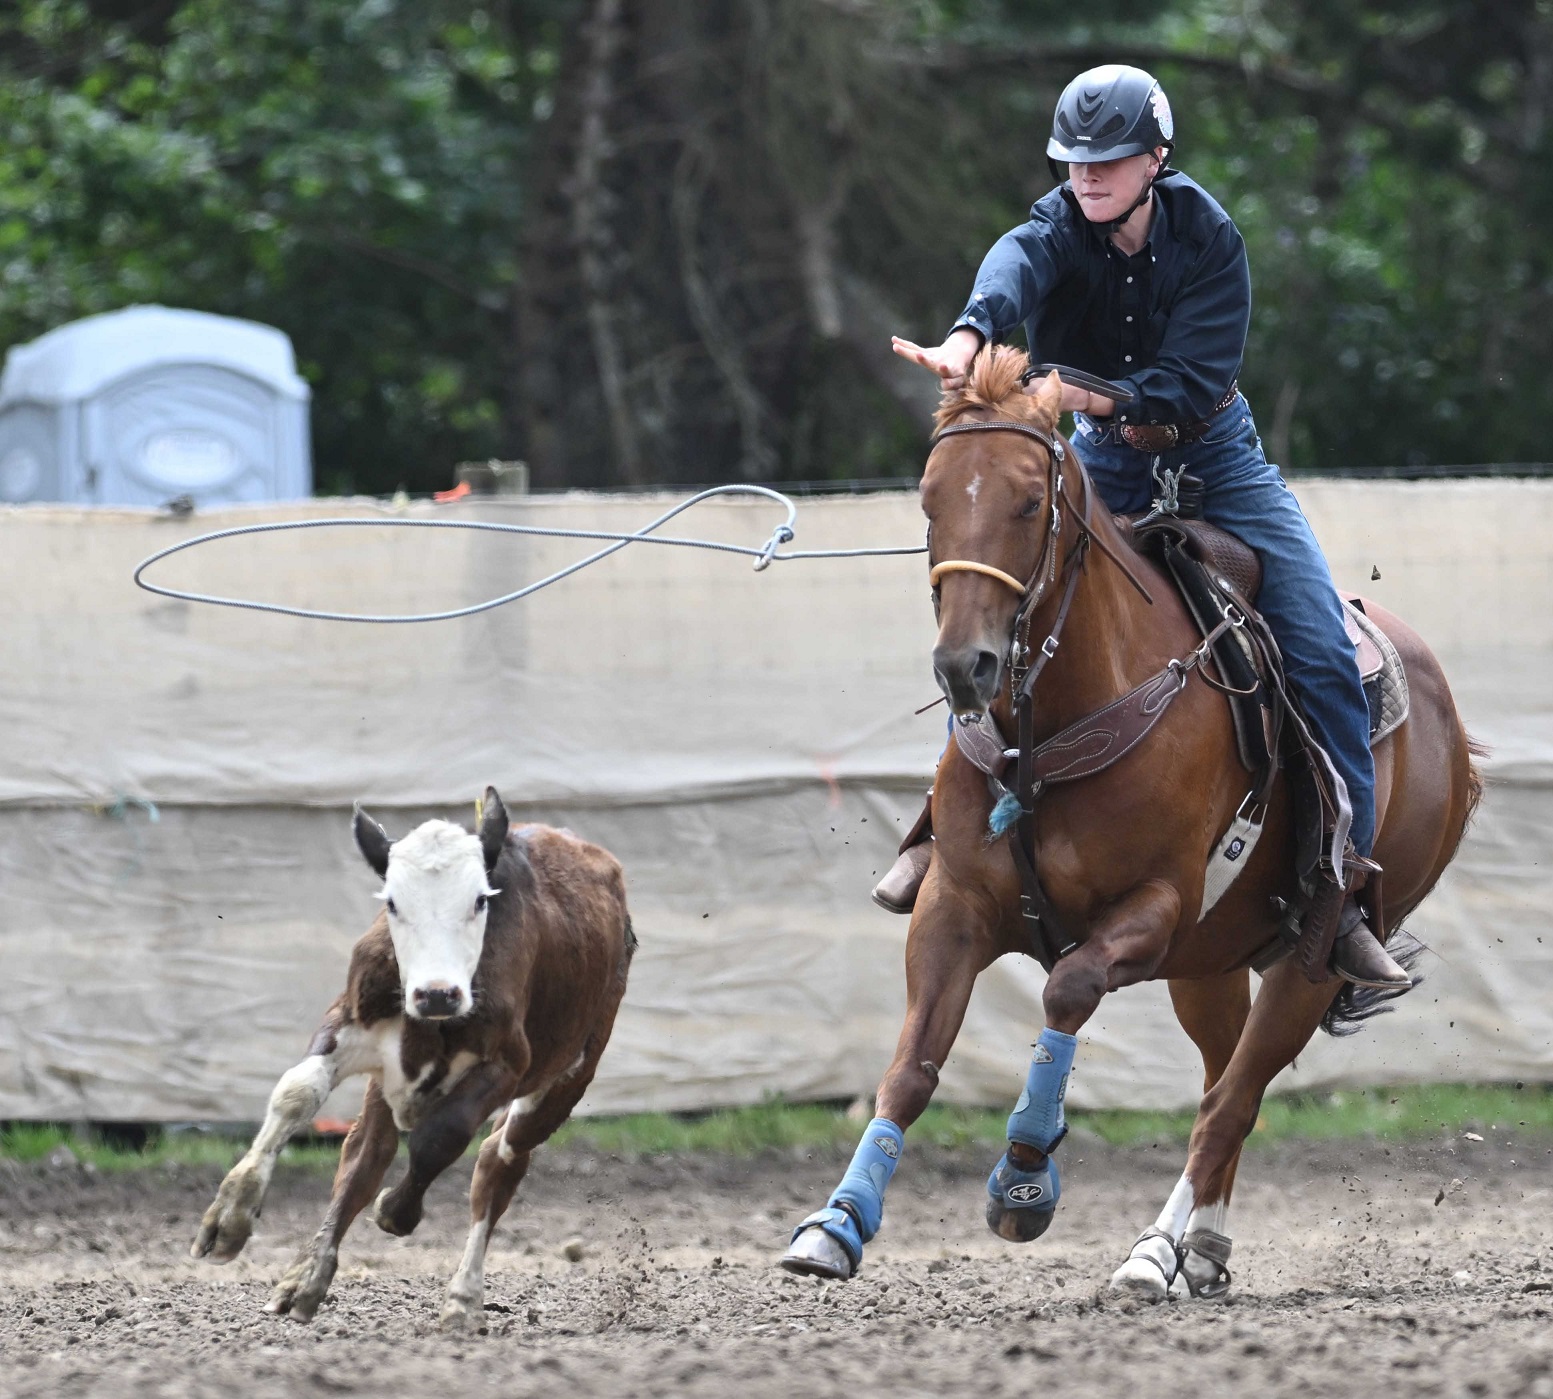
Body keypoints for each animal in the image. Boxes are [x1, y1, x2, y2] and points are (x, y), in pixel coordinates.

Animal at [191, 791, 633, 1329]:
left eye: (480, 899)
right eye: (393, 903)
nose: (437, 993)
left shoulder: (507, 1064)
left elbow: (439, 1139)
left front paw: (396, 1210)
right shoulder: (352, 1022)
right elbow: (297, 1092)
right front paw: (229, 1218)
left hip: (565, 1078)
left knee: (498, 1162)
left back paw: (463, 1297)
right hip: (387, 1086)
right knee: (365, 1157)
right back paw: (305, 1278)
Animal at [782, 346, 1484, 1298]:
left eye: (1027, 502)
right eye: (929, 501)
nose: (966, 665)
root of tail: (1447, 721)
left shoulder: (1151, 909)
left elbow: (1066, 989)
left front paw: (1023, 1177)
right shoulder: (952, 905)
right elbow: (910, 1068)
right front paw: (836, 1223)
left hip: (1309, 955)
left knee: (1231, 1098)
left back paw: (1152, 1250)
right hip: (1209, 966)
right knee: (1225, 1082)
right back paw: (1203, 1247)